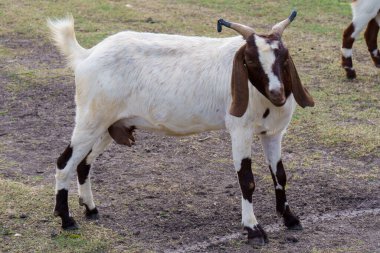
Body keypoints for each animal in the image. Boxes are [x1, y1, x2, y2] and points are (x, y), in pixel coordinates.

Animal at [48, 10, 314, 246]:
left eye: (284, 57)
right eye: (250, 61)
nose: (277, 93)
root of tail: (87, 55)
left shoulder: (273, 133)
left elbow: (280, 175)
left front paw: (290, 218)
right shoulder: (240, 130)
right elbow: (246, 180)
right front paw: (253, 230)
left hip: (108, 125)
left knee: (84, 162)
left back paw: (90, 208)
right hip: (90, 118)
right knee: (64, 162)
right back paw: (66, 220)